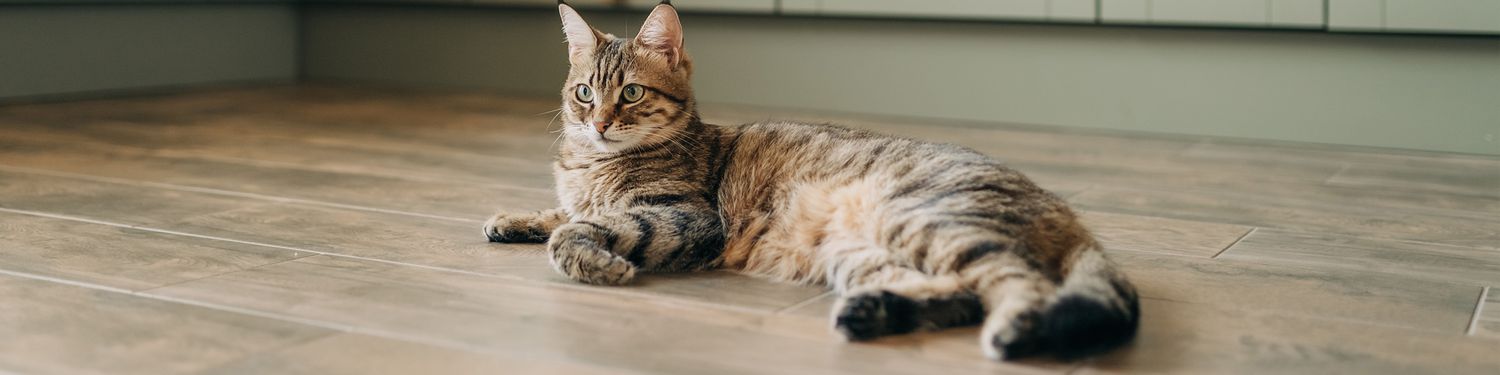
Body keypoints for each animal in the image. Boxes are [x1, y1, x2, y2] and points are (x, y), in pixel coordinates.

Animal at [486, 0, 1140, 360]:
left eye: (630, 94)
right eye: (584, 92)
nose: (597, 123)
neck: (591, 165)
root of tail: (1061, 209)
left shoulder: (686, 216)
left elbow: (575, 231)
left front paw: (596, 260)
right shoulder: (582, 194)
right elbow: (561, 213)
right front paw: (510, 218)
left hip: (926, 220)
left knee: (1016, 285)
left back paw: (1012, 331)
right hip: (861, 251)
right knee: (957, 294)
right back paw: (870, 313)